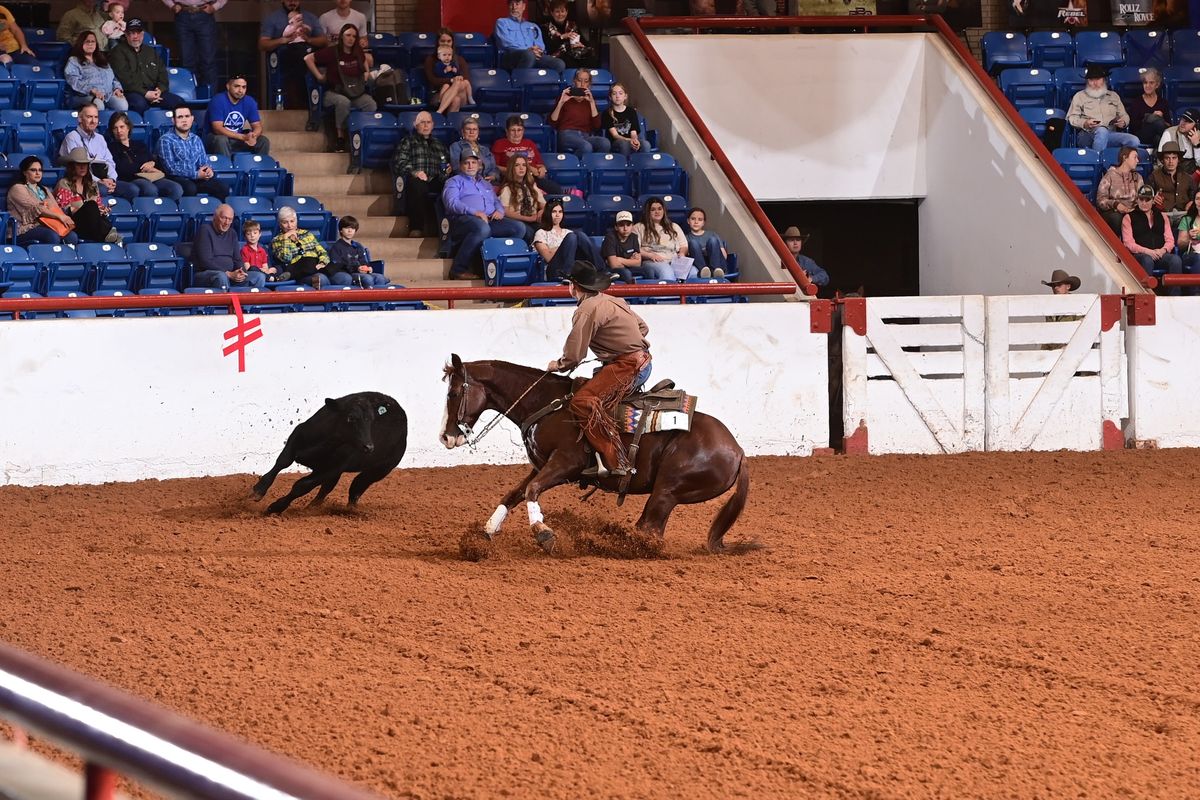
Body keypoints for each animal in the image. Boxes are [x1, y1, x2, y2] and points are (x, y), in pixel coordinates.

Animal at [252, 393, 408, 515]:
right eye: (351, 417)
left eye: (371, 419)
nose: (369, 447)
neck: (324, 443)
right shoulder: (297, 436)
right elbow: (282, 462)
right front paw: (258, 490)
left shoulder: (332, 469)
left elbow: (301, 486)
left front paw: (276, 507)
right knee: (328, 488)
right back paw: (311, 508)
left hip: (379, 470)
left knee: (356, 488)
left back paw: (346, 510)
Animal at [439, 357, 748, 556]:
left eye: (452, 393)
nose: (445, 437)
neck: (547, 404)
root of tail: (738, 451)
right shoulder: (542, 464)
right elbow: (514, 494)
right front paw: (486, 532)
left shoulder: (566, 463)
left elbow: (532, 490)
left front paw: (544, 534)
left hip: (668, 492)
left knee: (650, 531)